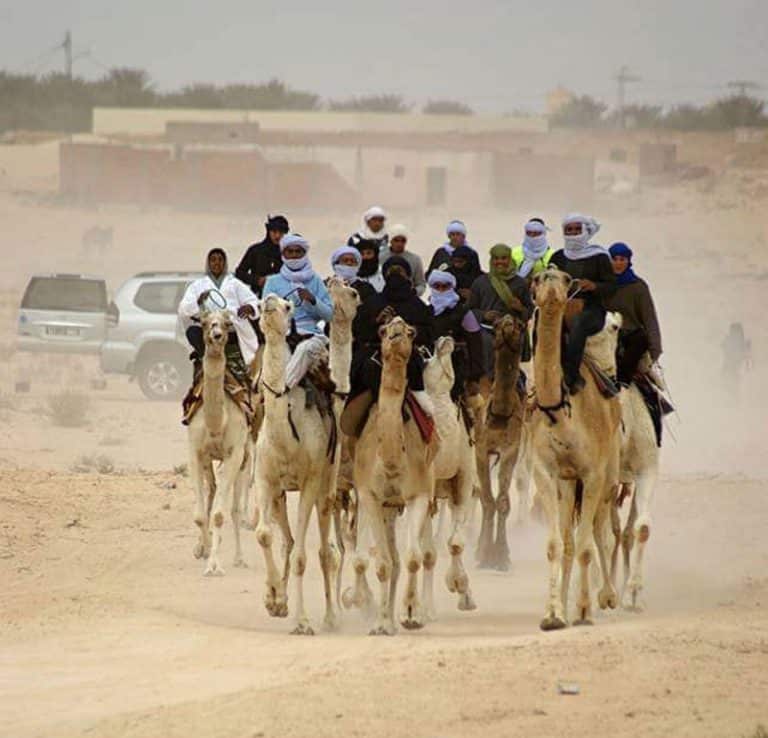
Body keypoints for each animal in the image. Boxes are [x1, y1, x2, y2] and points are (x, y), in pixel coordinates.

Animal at [255, 294, 340, 632]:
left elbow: (305, 556)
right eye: (260, 301)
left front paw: (302, 621)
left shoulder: (309, 482)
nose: (269, 301)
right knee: (287, 541)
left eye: (288, 306)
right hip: (280, 495)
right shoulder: (266, 480)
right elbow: (265, 535)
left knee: (325, 551)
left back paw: (330, 617)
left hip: (327, 486)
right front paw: (274, 600)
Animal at [352, 316, 438, 632]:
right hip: (386, 507)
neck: (390, 459)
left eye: (411, 331)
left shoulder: (419, 494)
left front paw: (410, 614)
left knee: (421, 554)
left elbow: (413, 558)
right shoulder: (370, 496)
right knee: (392, 559)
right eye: (382, 330)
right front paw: (381, 625)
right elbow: (384, 563)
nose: (397, 327)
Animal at [528, 268, 624, 628]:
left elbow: (586, 546)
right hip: (569, 484)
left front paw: (584, 610)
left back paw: (606, 597)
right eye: (539, 278)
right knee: (571, 539)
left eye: (566, 277)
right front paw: (553, 614)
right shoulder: (546, 472)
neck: (558, 409)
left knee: (602, 531)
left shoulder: (593, 472)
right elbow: (557, 545)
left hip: (609, 473)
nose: (551, 280)